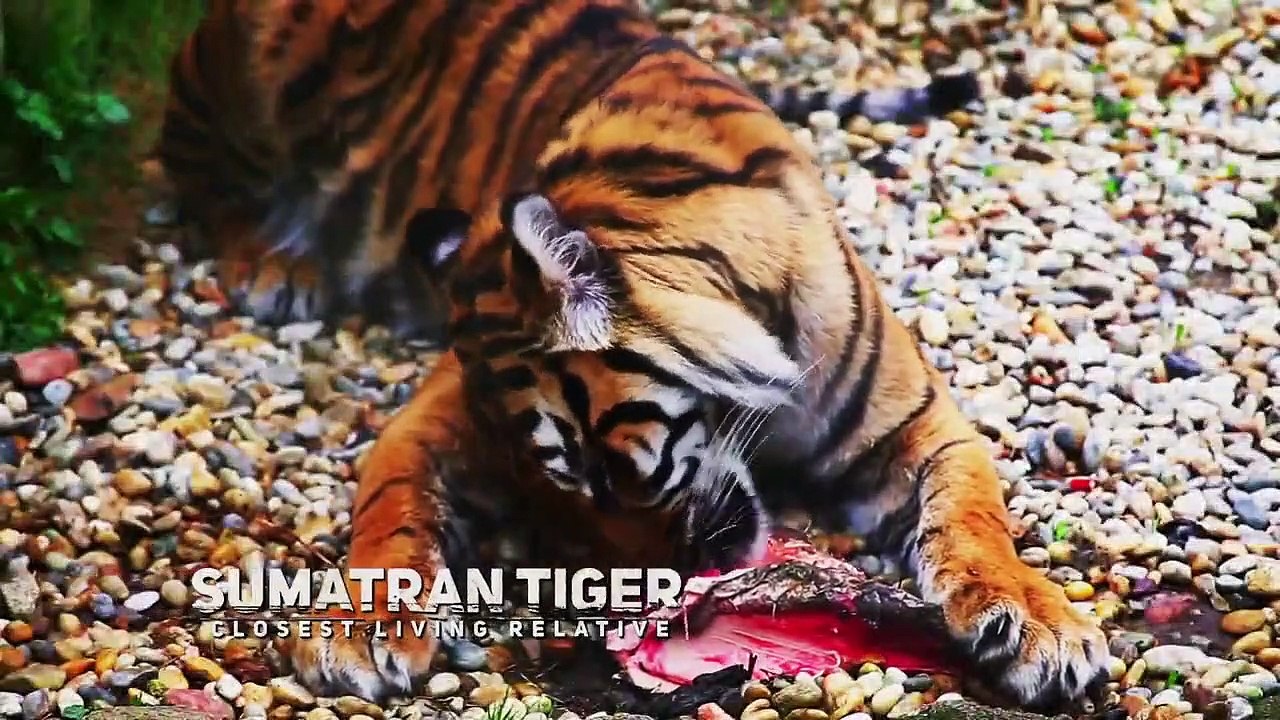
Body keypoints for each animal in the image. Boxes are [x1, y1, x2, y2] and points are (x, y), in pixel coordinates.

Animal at [156, 0, 1109, 711]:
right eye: (551, 519)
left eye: (597, 471)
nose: (660, 593)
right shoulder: (429, 417)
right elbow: (390, 516)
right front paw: (360, 629)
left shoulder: (919, 427)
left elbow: (976, 518)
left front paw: (1035, 622)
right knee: (202, 182)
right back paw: (274, 267)